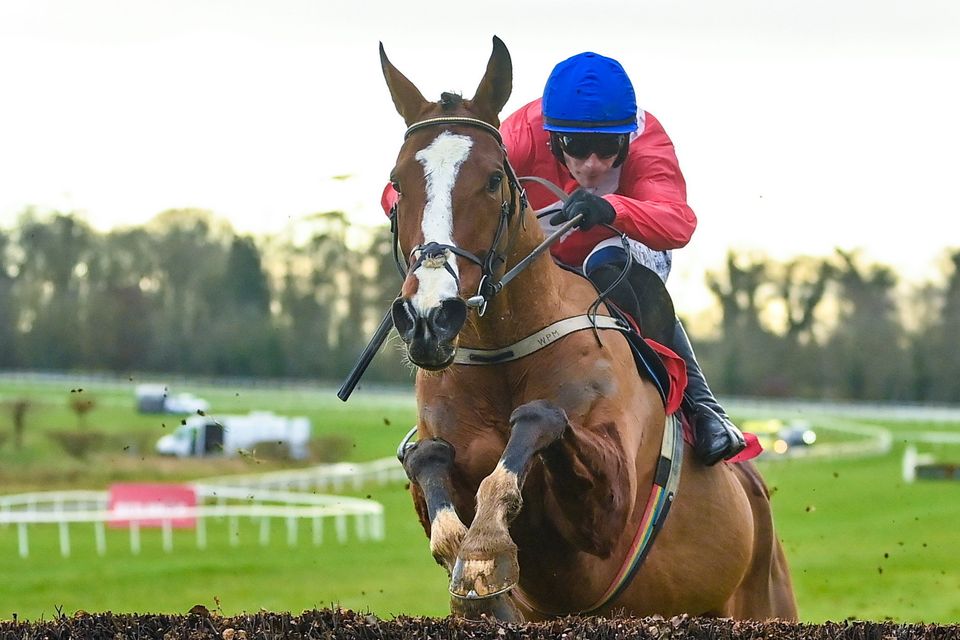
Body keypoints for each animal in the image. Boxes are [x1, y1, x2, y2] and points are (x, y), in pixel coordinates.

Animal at [380, 37, 796, 624]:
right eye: (398, 182)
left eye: (492, 179)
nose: (429, 317)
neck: (503, 355)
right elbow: (428, 462)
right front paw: (468, 557)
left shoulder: (610, 507)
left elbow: (540, 416)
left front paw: (484, 548)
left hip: (765, 601)